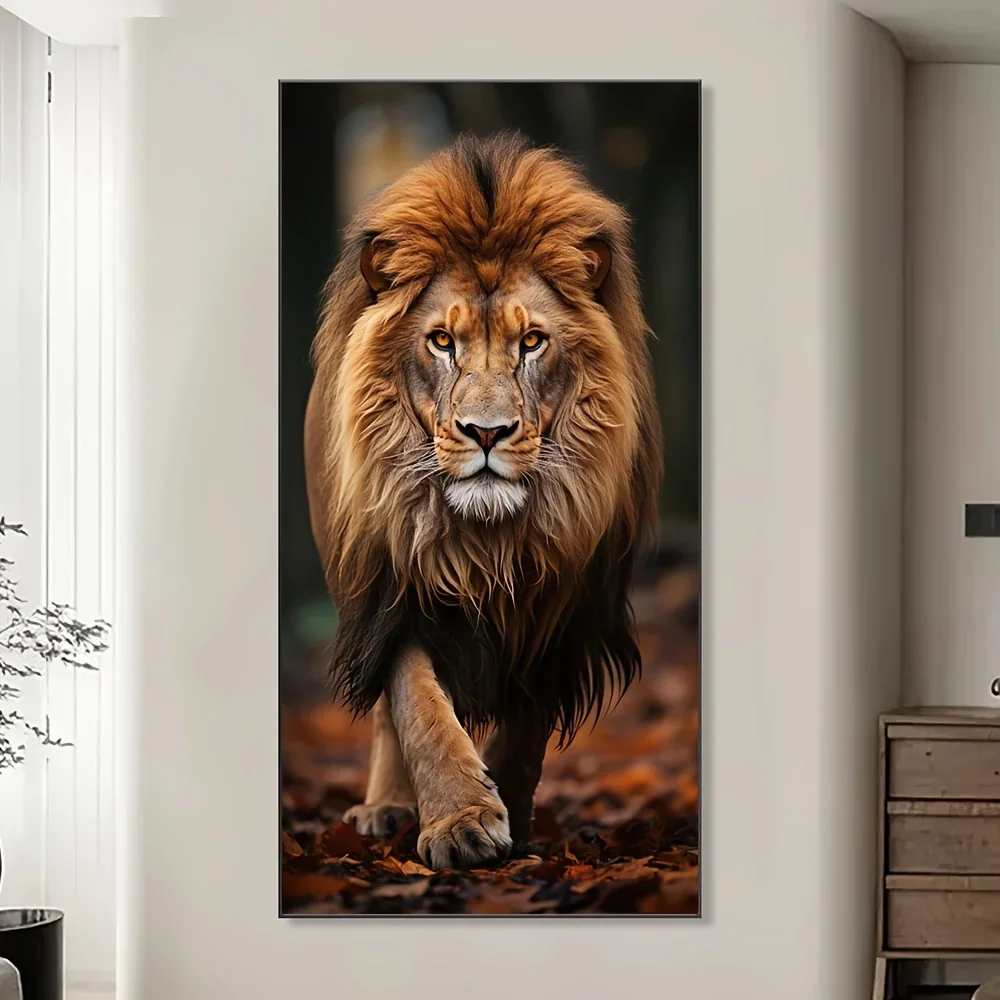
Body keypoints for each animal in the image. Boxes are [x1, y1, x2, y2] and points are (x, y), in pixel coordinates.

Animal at [303, 131, 662, 871]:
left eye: (532, 341)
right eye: (443, 340)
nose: (488, 432)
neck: (489, 541)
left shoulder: (565, 604)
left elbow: (525, 730)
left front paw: (510, 818)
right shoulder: (392, 591)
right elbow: (416, 706)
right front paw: (460, 820)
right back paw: (385, 809)